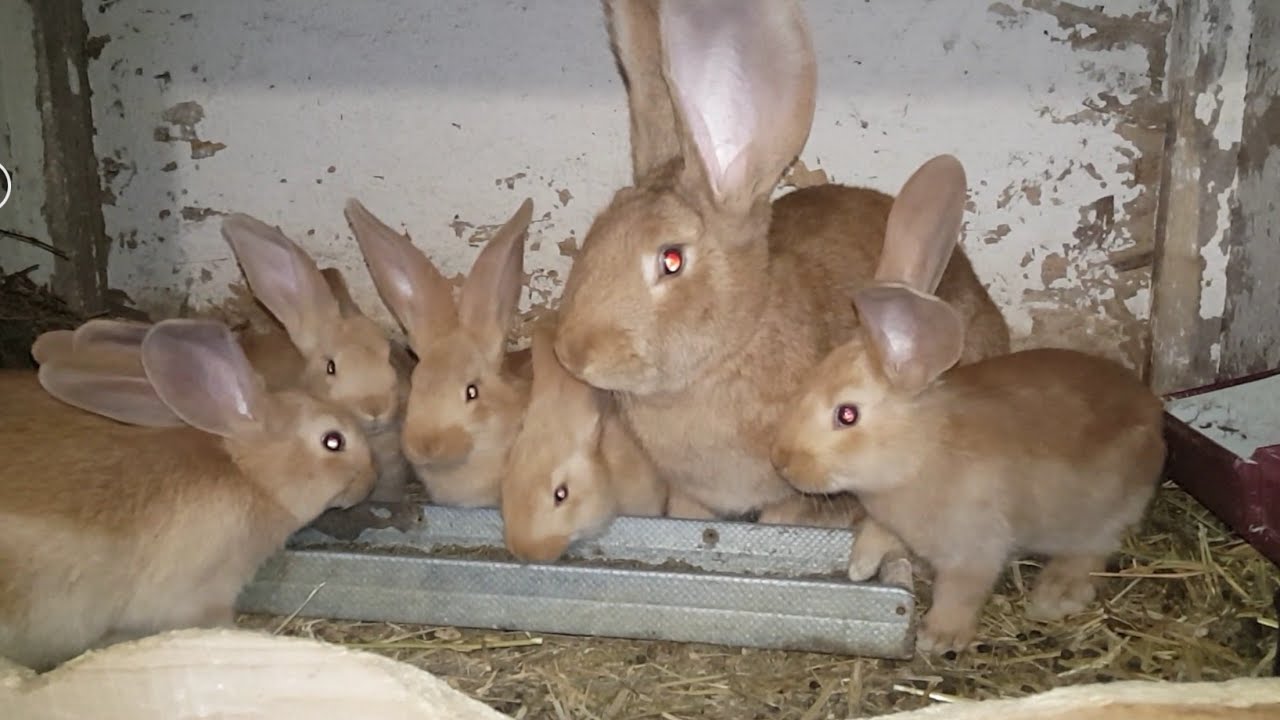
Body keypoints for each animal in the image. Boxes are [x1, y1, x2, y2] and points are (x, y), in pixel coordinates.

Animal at [551, 0, 1010, 526]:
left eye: (671, 259)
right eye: (597, 229)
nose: (571, 352)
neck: (731, 351)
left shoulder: (791, 496)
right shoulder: (692, 496)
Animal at [769, 154, 1166, 655]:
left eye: (847, 414)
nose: (781, 461)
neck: (921, 454)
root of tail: (1154, 416)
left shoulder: (976, 548)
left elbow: (961, 591)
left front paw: (936, 638)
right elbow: (878, 534)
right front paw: (859, 567)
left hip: (1100, 515)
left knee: (1092, 550)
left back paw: (1053, 596)